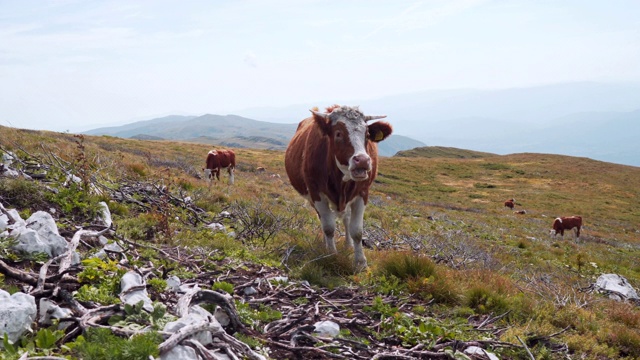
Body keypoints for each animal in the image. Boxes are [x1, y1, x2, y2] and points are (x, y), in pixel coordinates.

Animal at [286, 105, 396, 268]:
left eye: (367, 134)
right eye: (338, 133)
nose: (363, 160)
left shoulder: (363, 193)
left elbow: (357, 230)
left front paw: (360, 262)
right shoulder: (316, 193)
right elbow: (328, 227)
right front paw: (331, 254)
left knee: (346, 219)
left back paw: (348, 245)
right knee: (323, 219)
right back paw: (325, 244)